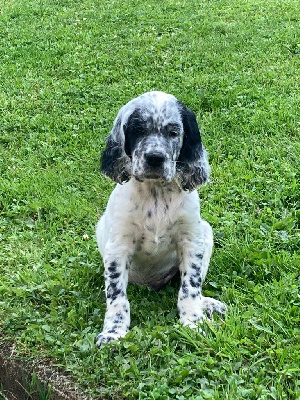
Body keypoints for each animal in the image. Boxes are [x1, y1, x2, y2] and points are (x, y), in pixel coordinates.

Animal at [95, 91, 225, 346]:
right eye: (138, 130)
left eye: (173, 132)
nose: (155, 158)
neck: (155, 192)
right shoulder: (117, 247)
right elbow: (116, 296)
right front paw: (113, 332)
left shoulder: (192, 242)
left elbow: (190, 287)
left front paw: (193, 322)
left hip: (206, 233)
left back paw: (208, 304)